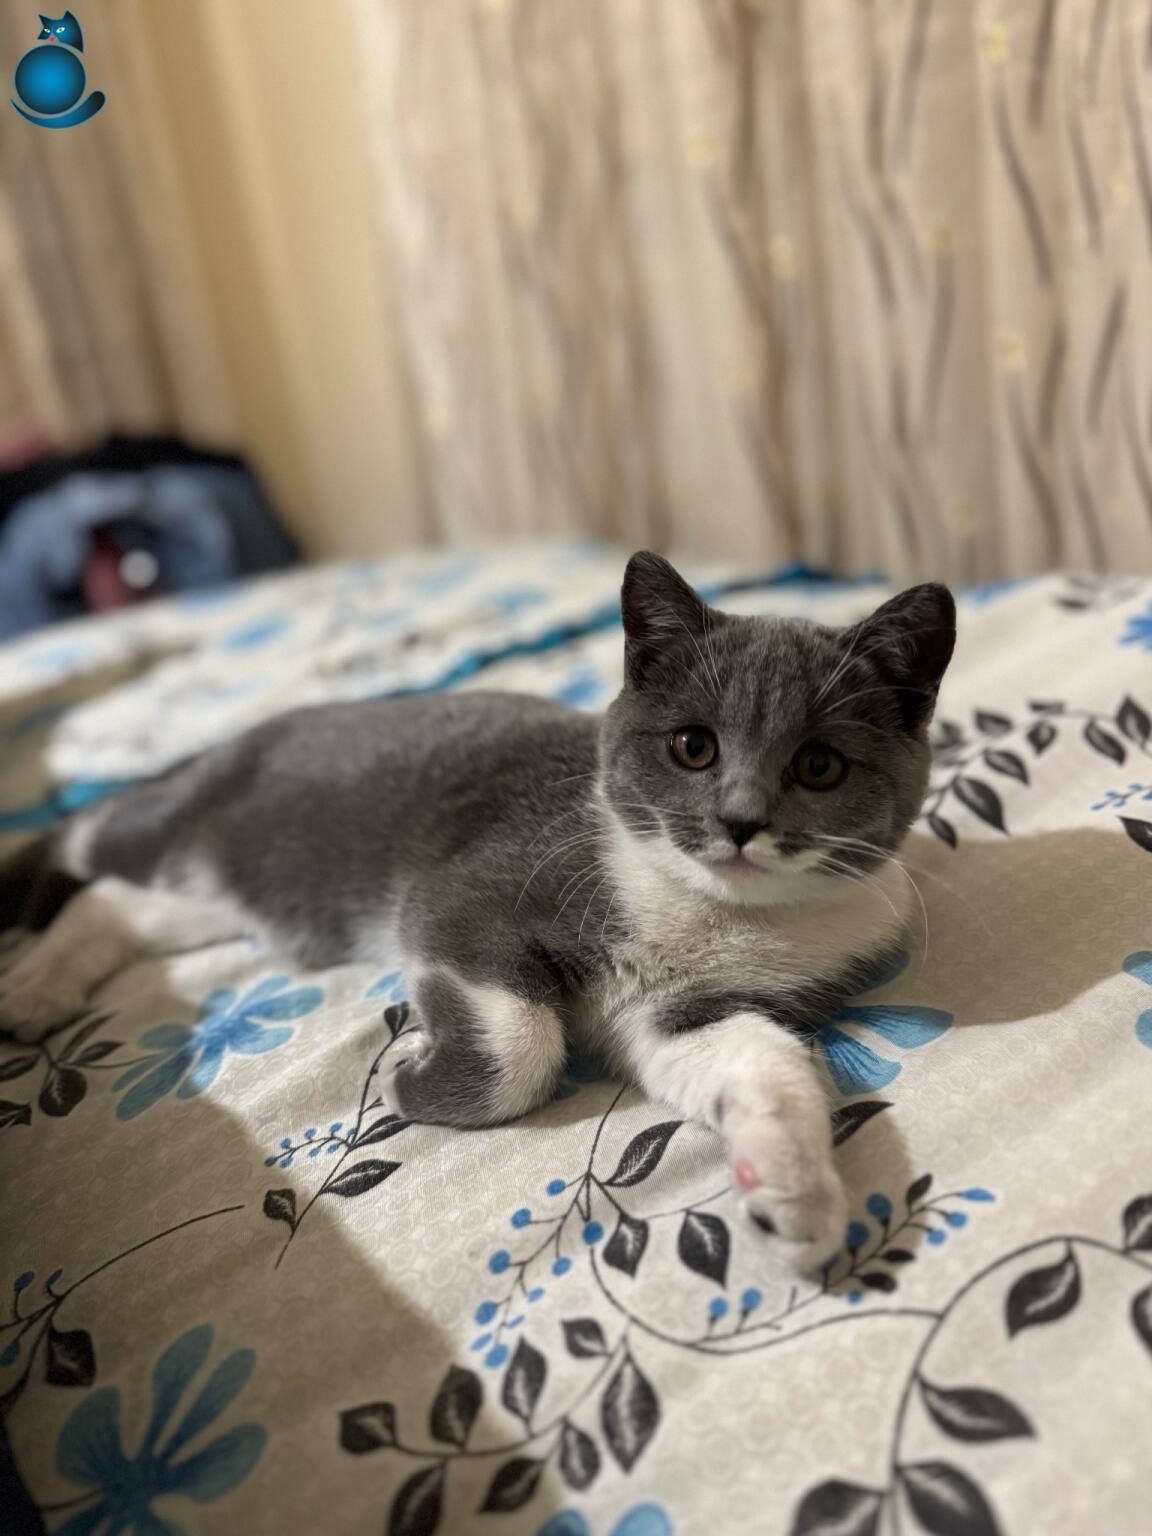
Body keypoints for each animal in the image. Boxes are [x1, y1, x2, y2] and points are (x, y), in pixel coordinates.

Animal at [0, 553, 955, 1272]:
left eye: (820, 766)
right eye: (694, 747)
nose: (741, 820)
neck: (710, 908)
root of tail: (233, 737)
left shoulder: (694, 1013)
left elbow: (765, 1063)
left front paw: (792, 1195)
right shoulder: (467, 894)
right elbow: (523, 1040)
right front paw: (408, 1073)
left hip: (242, 903)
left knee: (120, 906)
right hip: (172, 826)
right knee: (83, 851)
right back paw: (29, 988)